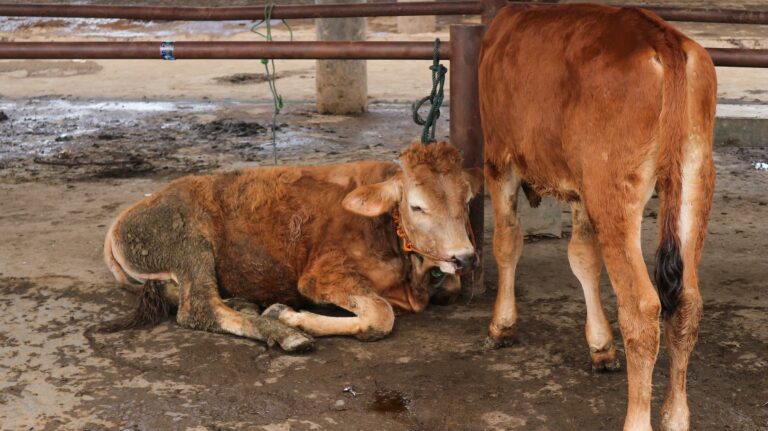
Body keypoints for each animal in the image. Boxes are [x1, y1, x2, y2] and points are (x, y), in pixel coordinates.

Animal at [104, 141, 483, 352]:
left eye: (467, 201)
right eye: (417, 206)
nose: (465, 258)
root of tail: (123, 217)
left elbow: (450, 287)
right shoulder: (320, 276)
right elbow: (381, 315)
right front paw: (289, 316)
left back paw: (244, 303)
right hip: (189, 245)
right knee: (199, 308)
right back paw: (284, 333)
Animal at [479, 4, 716, 431]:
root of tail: (662, 38)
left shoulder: (499, 158)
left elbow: (506, 242)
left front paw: (501, 325)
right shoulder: (579, 188)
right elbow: (583, 258)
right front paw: (600, 346)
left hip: (613, 188)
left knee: (642, 307)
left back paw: (637, 420)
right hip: (695, 176)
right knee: (688, 303)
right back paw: (676, 416)